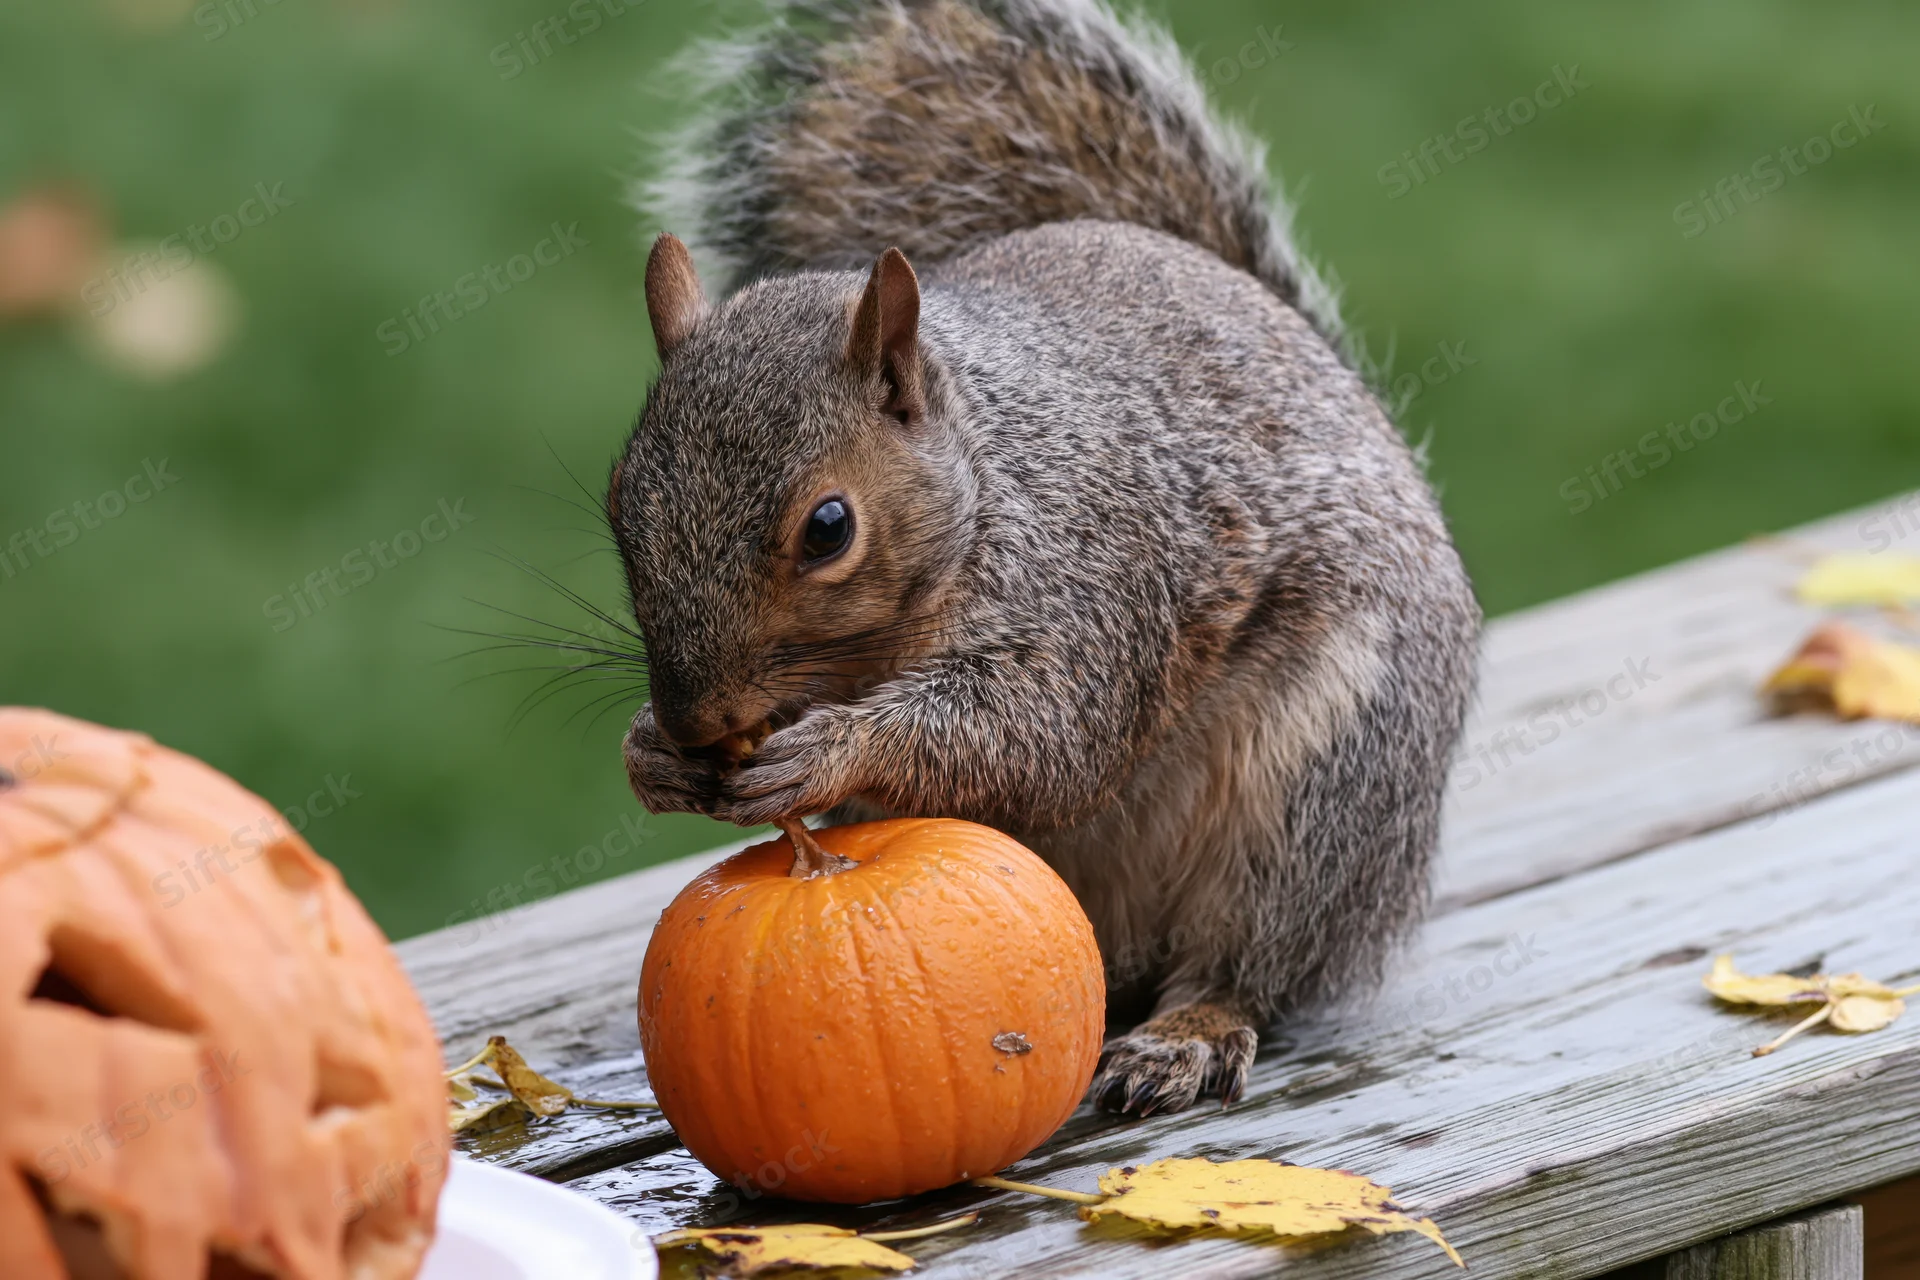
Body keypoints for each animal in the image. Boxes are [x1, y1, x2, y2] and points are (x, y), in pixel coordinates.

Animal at [609, 0, 1479, 1116]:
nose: (695, 719)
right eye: (619, 502)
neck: (985, 475)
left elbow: (1038, 733)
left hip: (1327, 786)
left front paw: (832, 747)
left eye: (829, 528)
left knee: (1253, 957)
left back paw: (1184, 1034)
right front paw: (650, 756)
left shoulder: (1096, 577)